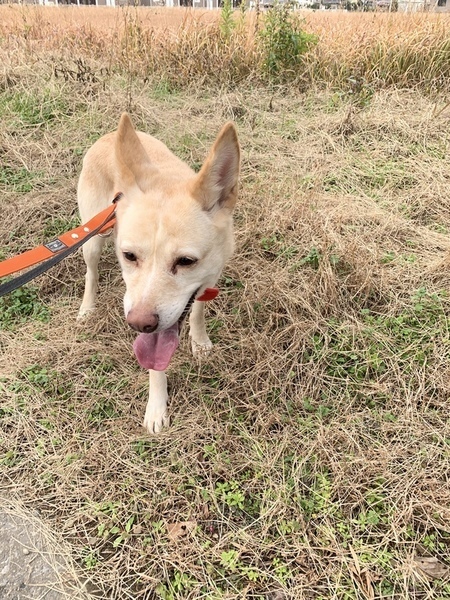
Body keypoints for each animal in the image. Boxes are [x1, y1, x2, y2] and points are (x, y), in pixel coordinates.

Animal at [77, 113, 240, 433]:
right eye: (129, 256)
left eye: (186, 261)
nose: (139, 324)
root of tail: (107, 137)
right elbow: (156, 367)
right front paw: (157, 406)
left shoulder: (209, 277)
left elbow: (197, 312)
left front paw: (199, 342)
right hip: (92, 237)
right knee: (91, 271)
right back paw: (87, 308)